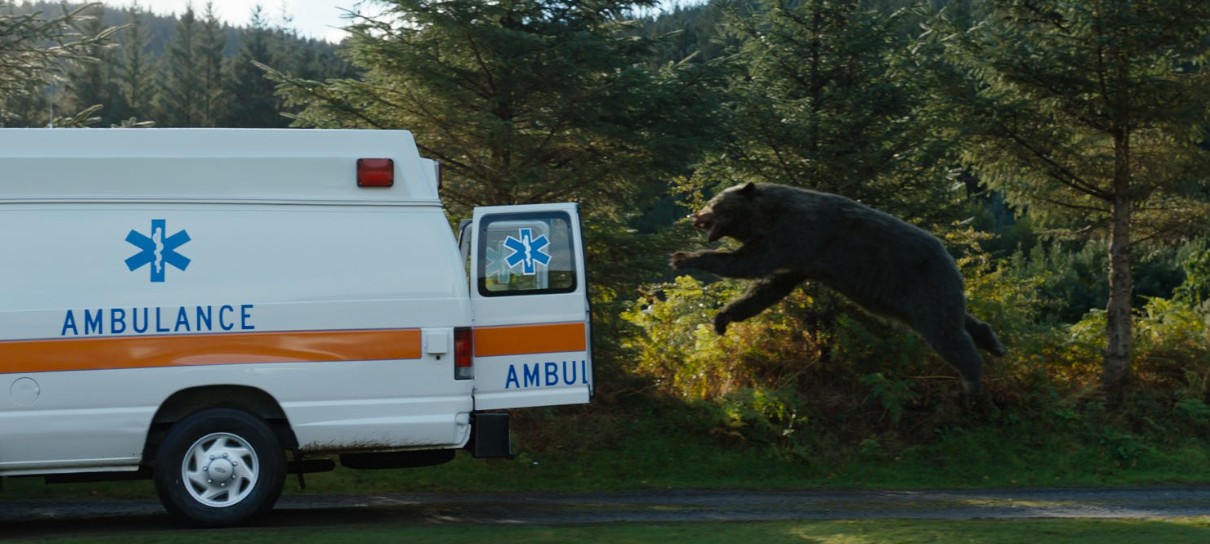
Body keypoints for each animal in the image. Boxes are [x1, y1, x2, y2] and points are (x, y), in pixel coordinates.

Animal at [672, 182, 1001, 394]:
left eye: (713, 202)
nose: (695, 216)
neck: (767, 215)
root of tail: (951, 258)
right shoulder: (797, 259)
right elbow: (766, 288)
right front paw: (722, 318)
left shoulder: (794, 234)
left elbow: (748, 264)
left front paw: (684, 257)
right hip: (910, 300)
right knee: (958, 321)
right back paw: (992, 341)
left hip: (921, 284)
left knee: (947, 335)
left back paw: (973, 382)